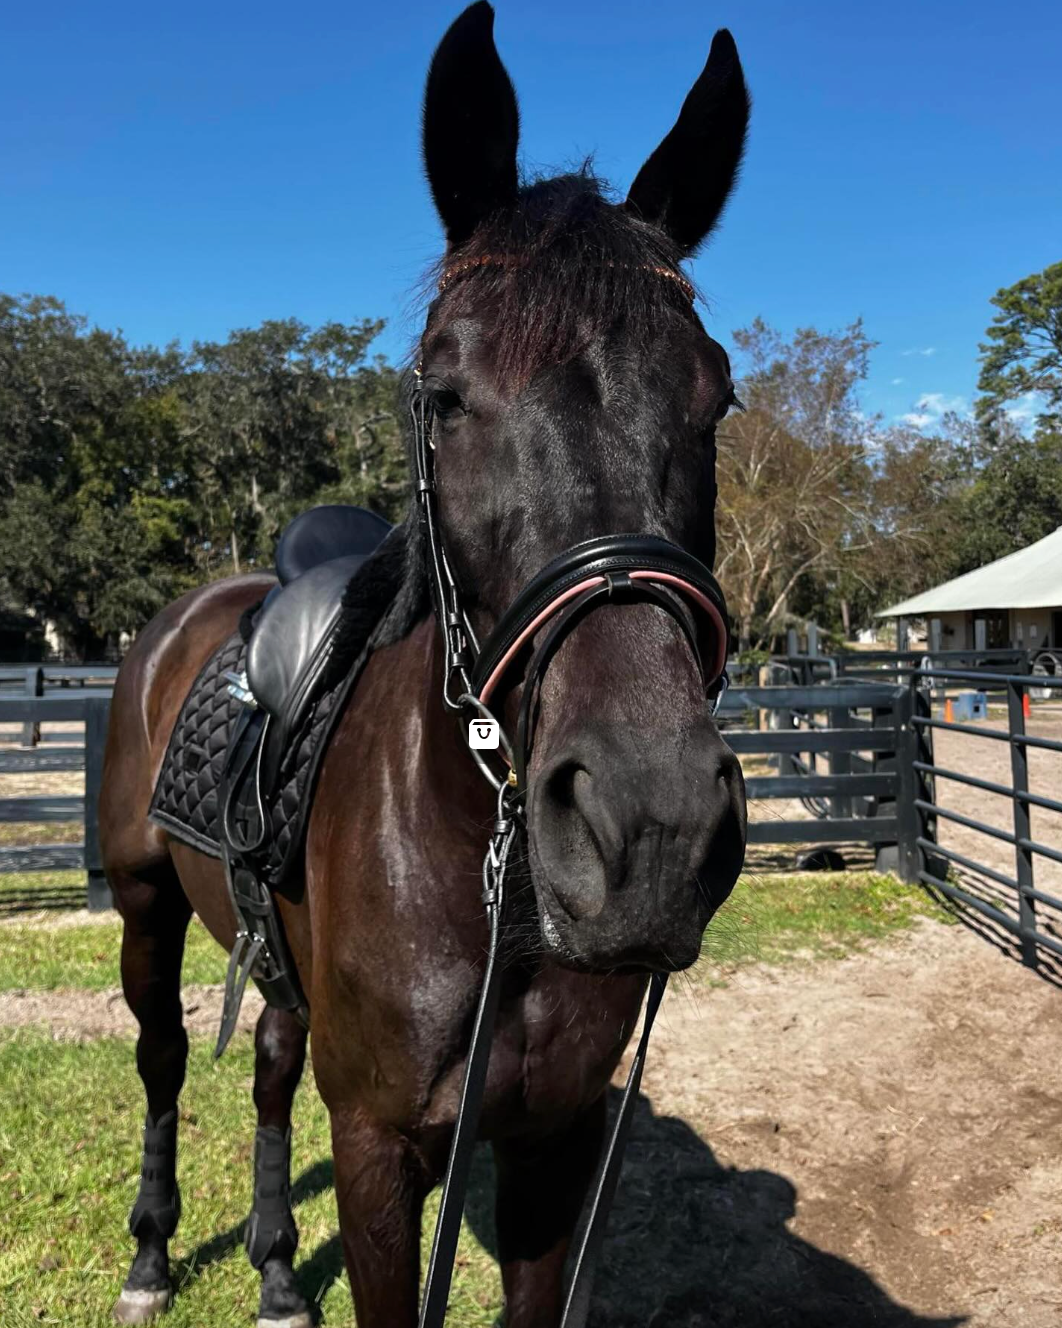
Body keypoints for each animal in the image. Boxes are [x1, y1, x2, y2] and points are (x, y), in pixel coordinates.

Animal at [99, 5, 748, 1322]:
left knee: (268, 1062)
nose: (650, 824)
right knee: (164, 1056)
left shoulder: (554, 1142)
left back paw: (276, 1268)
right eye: (444, 393)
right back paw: (151, 1255)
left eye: (716, 397)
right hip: (143, 903)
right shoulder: (378, 1146)